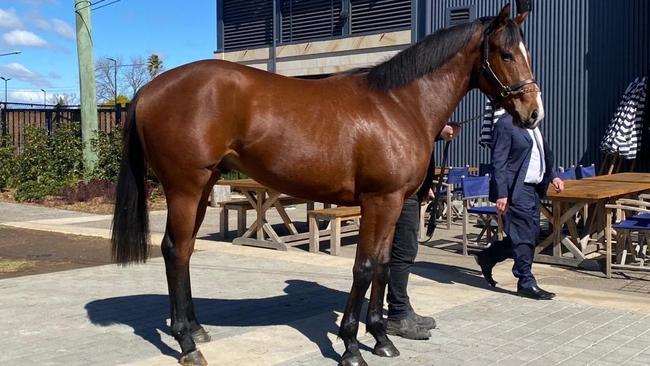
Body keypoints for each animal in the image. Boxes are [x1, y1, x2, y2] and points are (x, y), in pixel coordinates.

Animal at [112, 3, 540, 366]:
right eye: (506, 54)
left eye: (525, 51)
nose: (533, 113)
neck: (398, 105)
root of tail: (150, 89)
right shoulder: (380, 200)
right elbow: (364, 267)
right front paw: (351, 347)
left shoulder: (393, 203)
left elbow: (383, 265)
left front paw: (381, 339)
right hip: (185, 188)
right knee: (174, 251)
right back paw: (186, 344)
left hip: (202, 189)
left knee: (183, 252)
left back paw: (196, 330)